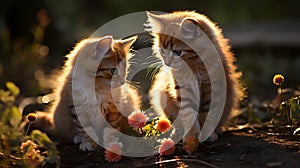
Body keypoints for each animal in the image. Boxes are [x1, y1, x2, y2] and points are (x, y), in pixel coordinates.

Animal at [146, 10, 245, 154]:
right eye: (162, 51)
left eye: (177, 52)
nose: (167, 62)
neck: (193, 67)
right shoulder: (184, 90)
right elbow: (189, 115)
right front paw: (191, 137)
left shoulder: (211, 89)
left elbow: (207, 114)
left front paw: (207, 134)